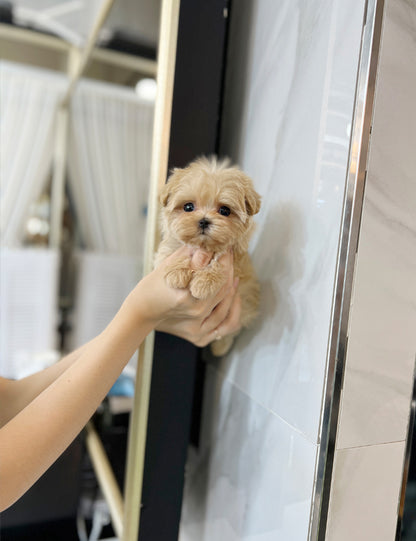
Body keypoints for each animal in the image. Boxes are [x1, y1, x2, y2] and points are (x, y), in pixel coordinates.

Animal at [154, 155, 262, 354]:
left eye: (225, 211)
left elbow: (220, 261)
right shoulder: (165, 251)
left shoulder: (235, 259)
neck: (203, 246)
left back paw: (220, 347)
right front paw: (176, 272)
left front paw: (204, 283)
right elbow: (171, 252)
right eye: (188, 207)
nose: (204, 221)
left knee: (230, 332)